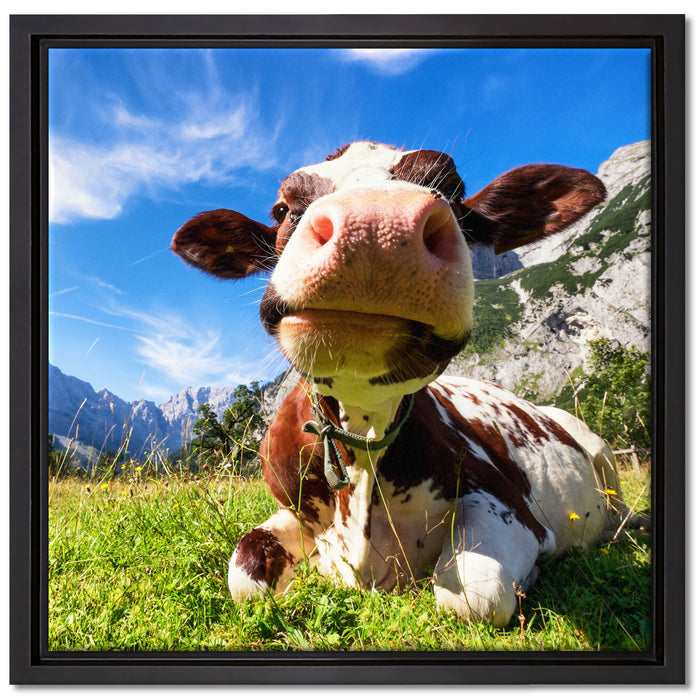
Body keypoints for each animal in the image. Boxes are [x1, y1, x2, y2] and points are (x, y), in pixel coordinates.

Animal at [172, 140, 624, 626]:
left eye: (453, 189)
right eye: (281, 208)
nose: (375, 226)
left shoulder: (507, 502)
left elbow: (473, 595)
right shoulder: (292, 511)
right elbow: (245, 573)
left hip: (602, 455)